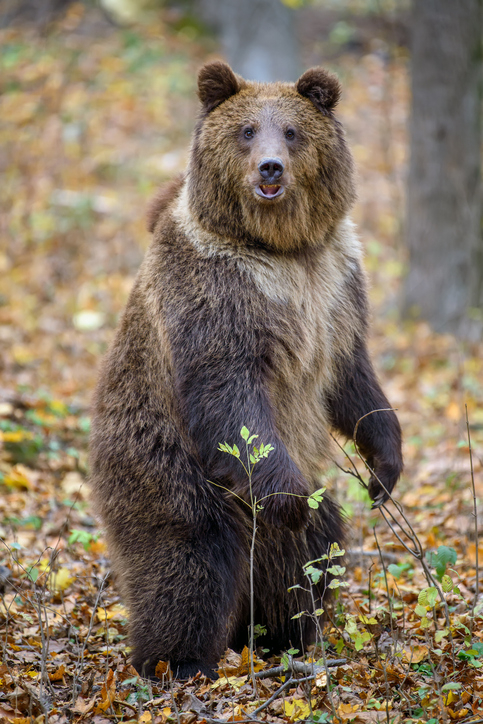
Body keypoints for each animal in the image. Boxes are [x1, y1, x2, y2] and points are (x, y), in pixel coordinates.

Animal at [89, 60, 402, 680]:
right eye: (246, 131)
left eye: (293, 132)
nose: (270, 167)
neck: (282, 249)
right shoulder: (218, 291)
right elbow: (229, 390)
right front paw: (286, 497)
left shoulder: (336, 288)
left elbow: (353, 380)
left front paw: (384, 471)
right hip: (170, 465)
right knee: (191, 561)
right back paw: (178, 662)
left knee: (309, 550)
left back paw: (286, 636)